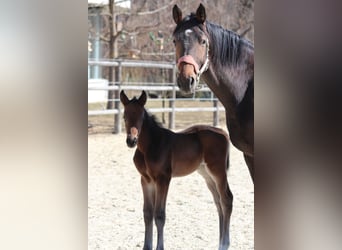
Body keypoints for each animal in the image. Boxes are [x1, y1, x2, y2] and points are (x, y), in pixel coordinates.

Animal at [119, 90, 232, 250]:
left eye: (141, 117)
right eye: (125, 117)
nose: (131, 141)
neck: (150, 146)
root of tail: (223, 132)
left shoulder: (163, 179)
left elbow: (159, 215)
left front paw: (160, 247)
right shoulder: (146, 180)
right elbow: (147, 213)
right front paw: (147, 246)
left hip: (218, 171)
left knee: (227, 199)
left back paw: (224, 244)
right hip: (207, 175)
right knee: (218, 202)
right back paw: (219, 242)